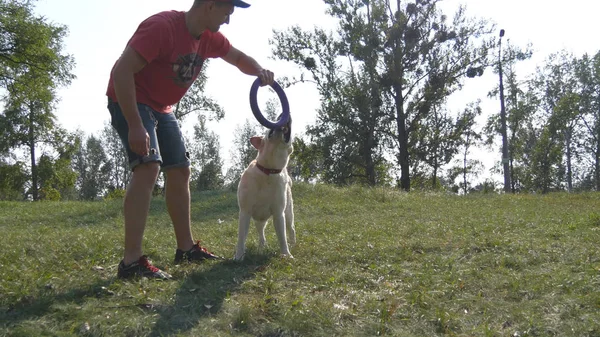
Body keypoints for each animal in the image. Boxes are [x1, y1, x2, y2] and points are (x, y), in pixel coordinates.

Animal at [237, 117, 298, 262]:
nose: (283, 117)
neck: (269, 172)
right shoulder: (245, 212)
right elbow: (241, 237)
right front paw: (238, 256)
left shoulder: (278, 214)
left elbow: (282, 237)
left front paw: (287, 255)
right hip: (258, 219)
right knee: (261, 232)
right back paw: (262, 246)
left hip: (288, 212)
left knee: (291, 228)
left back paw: (293, 244)